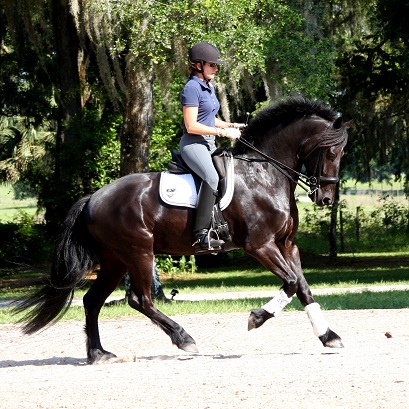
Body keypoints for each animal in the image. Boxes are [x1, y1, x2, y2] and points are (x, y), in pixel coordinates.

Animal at [14, 96, 350, 364]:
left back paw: (99, 354)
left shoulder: (286, 244)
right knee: (140, 299)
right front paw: (256, 318)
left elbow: (303, 287)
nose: (326, 198)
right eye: (332, 153)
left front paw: (329, 336)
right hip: (138, 252)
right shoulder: (260, 245)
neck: (264, 174)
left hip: (114, 260)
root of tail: (93, 198)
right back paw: (184, 339)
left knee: (92, 301)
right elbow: (291, 283)